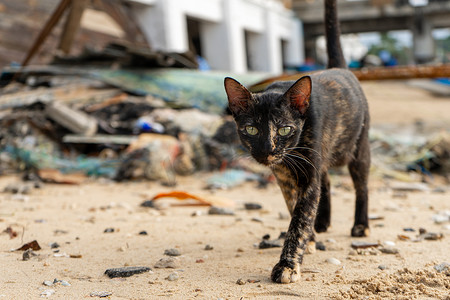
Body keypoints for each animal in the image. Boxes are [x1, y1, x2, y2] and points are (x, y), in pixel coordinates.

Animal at [224, 0, 370, 284]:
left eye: (284, 129)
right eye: (251, 129)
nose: (267, 151)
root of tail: (341, 69)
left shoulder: (306, 176)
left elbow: (299, 220)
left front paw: (288, 264)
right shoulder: (285, 177)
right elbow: (295, 209)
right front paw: (309, 238)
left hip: (359, 150)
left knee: (361, 187)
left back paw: (361, 225)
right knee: (326, 181)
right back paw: (322, 223)